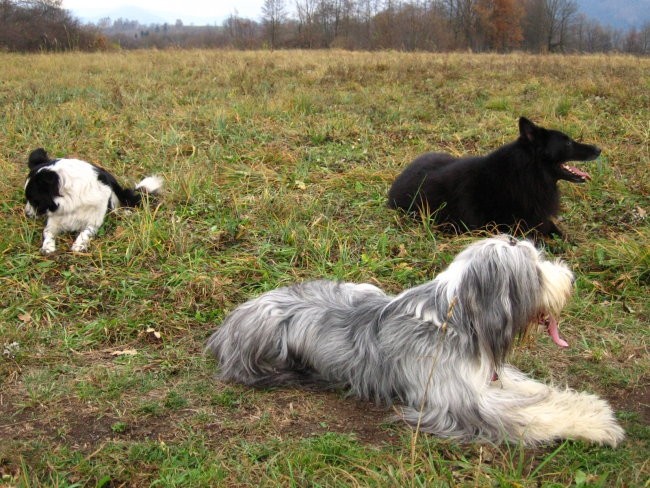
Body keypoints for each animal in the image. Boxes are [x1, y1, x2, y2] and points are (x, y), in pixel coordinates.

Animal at [25, 147, 162, 254]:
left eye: (34, 200)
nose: (26, 214)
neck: (70, 199)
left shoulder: (93, 221)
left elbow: (85, 232)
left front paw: (79, 245)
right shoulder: (54, 221)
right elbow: (47, 232)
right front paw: (47, 246)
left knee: (116, 209)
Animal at [208, 236, 624, 446]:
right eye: (535, 270)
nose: (572, 281)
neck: (453, 322)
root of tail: (230, 321)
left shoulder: (483, 377)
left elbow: (536, 391)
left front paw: (589, 405)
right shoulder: (462, 404)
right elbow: (532, 414)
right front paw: (598, 424)